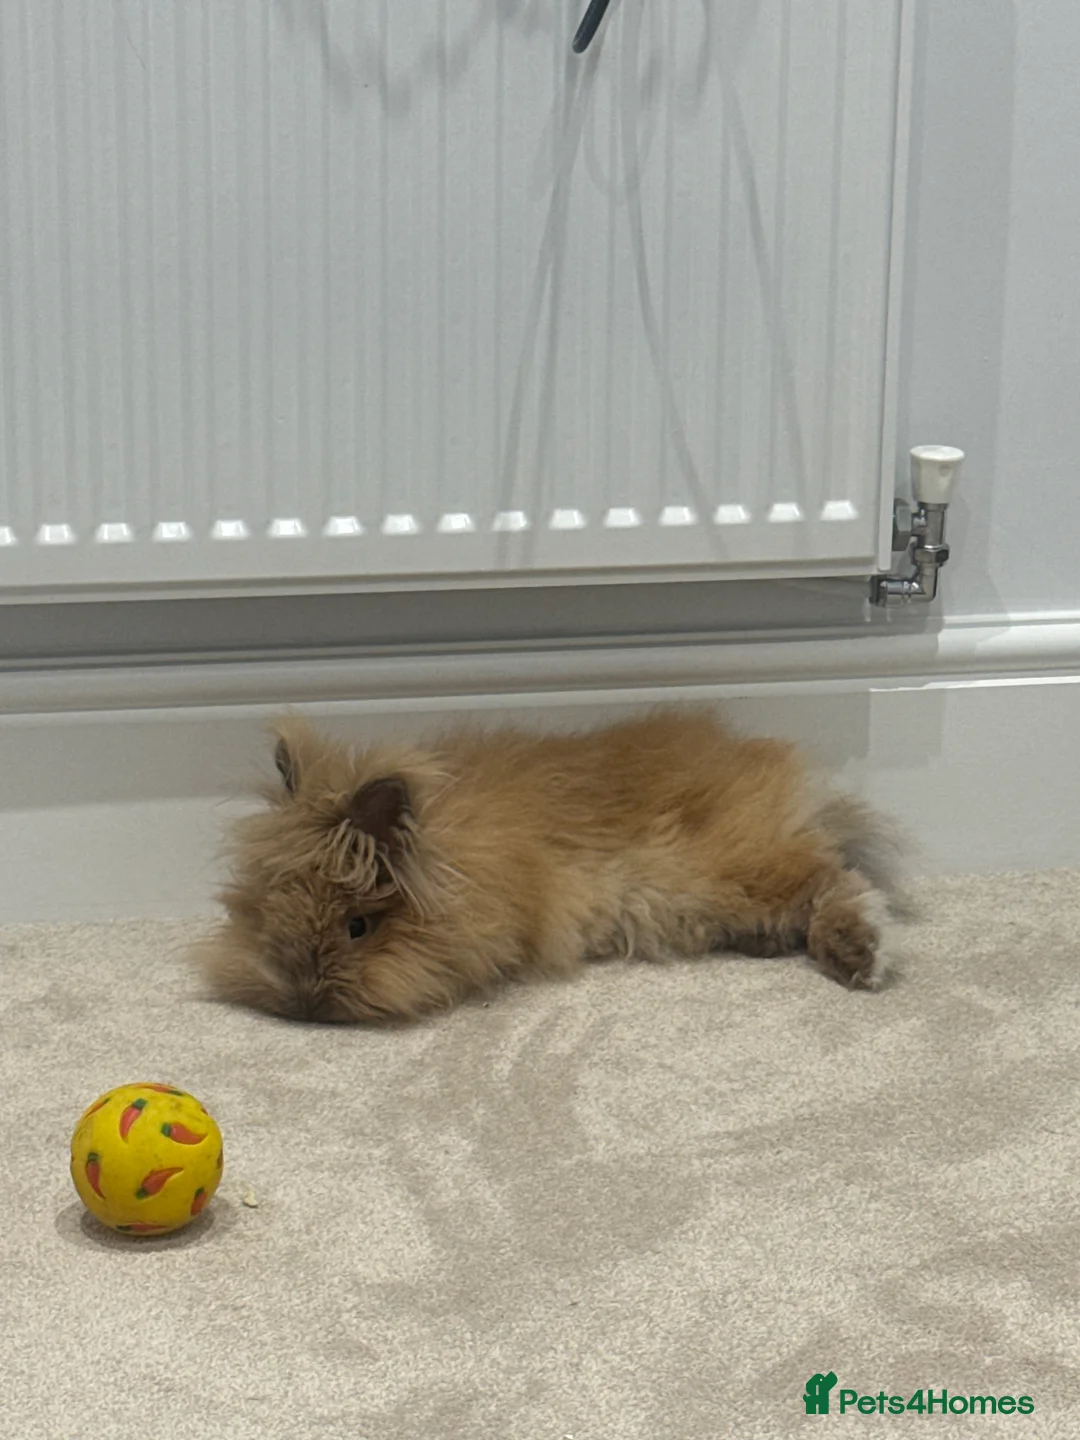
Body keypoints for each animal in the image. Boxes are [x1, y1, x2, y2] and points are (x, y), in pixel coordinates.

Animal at [195, 707, 909, 1024]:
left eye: (358, 928)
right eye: (260, 909)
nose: (305, 1001)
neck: (460, 860)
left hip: (739, 872)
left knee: (835, 880)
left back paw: (858, 957)